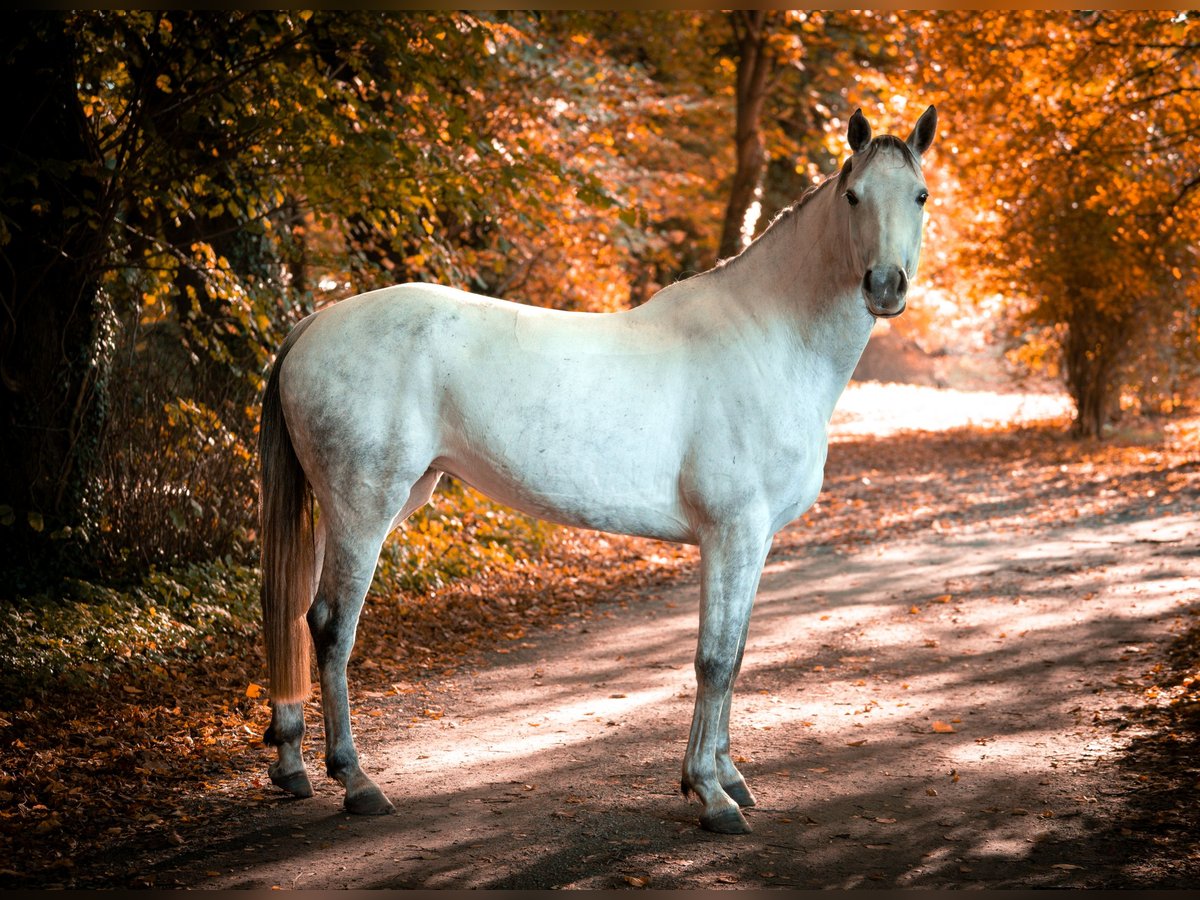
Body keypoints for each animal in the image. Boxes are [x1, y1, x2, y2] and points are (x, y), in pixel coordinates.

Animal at [260, 107, 936, 840]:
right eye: (854, 197)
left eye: (921, 196)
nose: (885, 287)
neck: (771, 337)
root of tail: (317, 321)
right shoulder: (731, 533)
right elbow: (713, 659)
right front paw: (710, 794)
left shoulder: (755, 542)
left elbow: (735, 655)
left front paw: (727, 776)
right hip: (364, 505)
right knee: (332, 625)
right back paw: (356, 781)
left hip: (352, 504)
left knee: (296, 612)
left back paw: (292, 766)